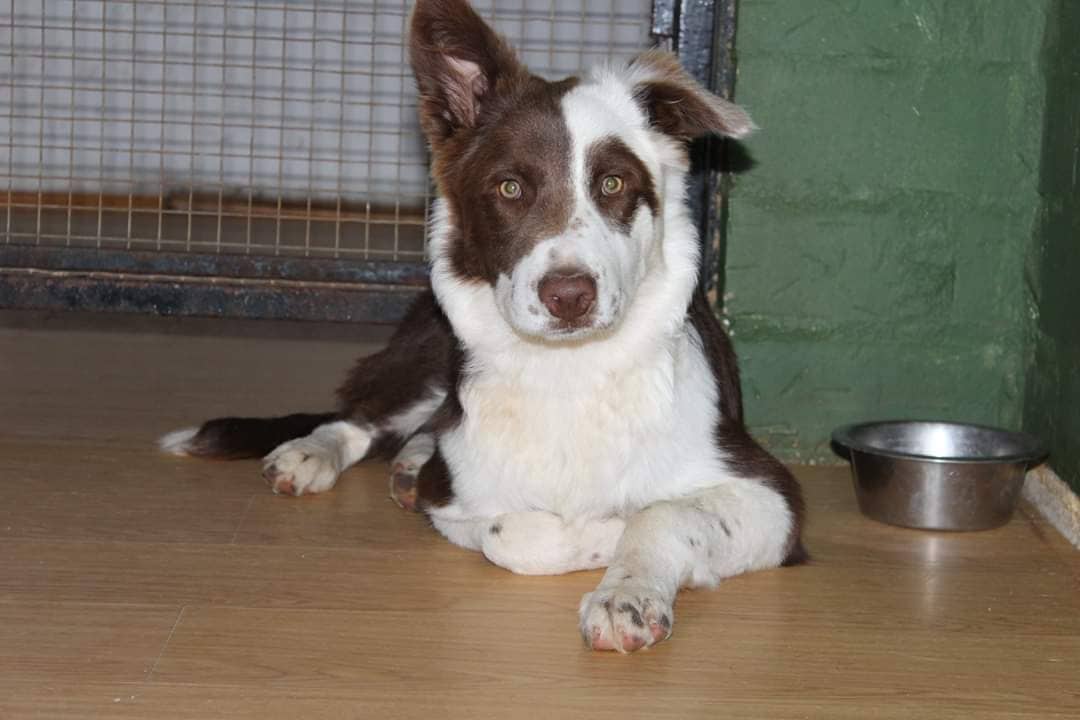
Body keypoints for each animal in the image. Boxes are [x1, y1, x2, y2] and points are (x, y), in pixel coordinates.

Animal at [160, 0, 806, 653]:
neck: (570, 370)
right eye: (510, 187)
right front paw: (599, 535)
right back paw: (315, 453)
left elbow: (663, 513)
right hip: (427, 357)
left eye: (613, 183)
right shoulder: (456, 496)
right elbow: (515, 533)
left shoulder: (773, 499)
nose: (569, 296)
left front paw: (625, 588)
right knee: (360, 417)